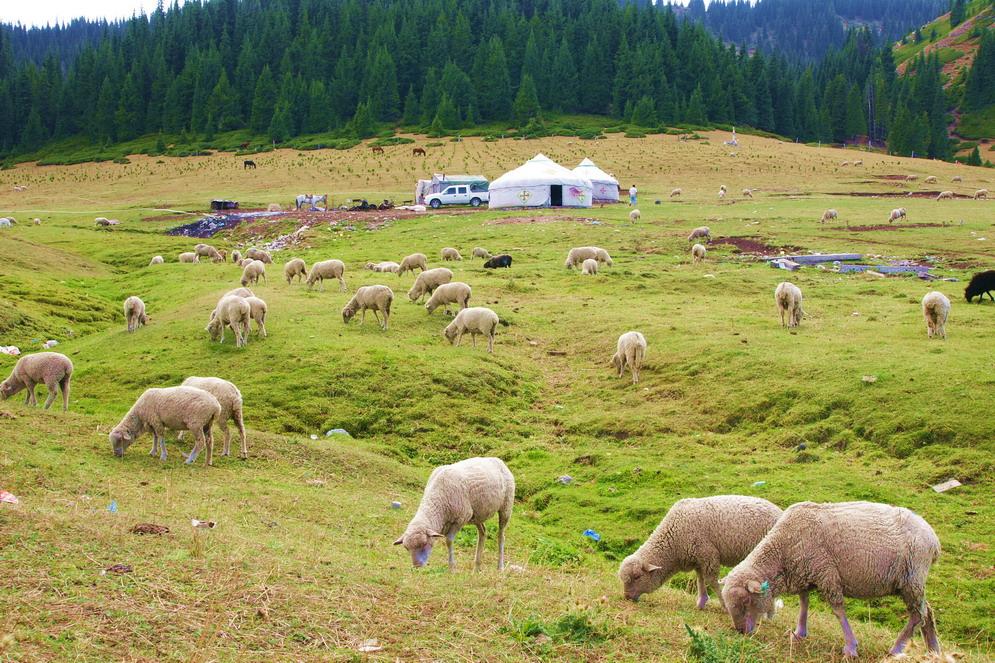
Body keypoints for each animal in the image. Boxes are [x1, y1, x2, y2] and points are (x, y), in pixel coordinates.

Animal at [620, 496, 784, 608]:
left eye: (637, 577)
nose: (627, 597)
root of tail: (779, 511)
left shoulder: (708, 555)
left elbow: (711, 581)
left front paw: (724, 605)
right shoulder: (698, 559)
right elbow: (700, 580)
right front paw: (701, 602)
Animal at [724, 504, 940, 660]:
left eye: (746, 601)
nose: (741, 631)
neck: (782, 551)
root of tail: (934, 540)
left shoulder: (827, 574)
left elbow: (838, 611)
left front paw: (851, 648)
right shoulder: (804, 573)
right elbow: (804, 602)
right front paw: (799, 632)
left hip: (912, 578)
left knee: (918, 615)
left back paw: (896, 649)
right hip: (910, 583)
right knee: (927, 612)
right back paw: (933, 651)